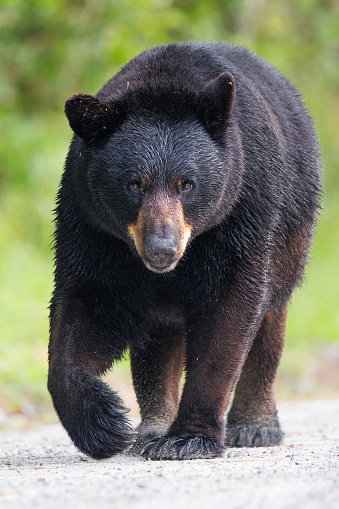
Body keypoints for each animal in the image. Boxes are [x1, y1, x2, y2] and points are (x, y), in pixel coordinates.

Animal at [47, 41, 322, 458]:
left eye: (187, 183)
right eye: (134, 184)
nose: (162, 248)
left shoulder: (242, 215)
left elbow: (229, 317)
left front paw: (189, 438)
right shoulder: (93, 227)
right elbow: (85, 307)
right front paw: (103, 423)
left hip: (291, 235)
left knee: (270, 325)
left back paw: (254, 426)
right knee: (158, 342)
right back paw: (151, 428)